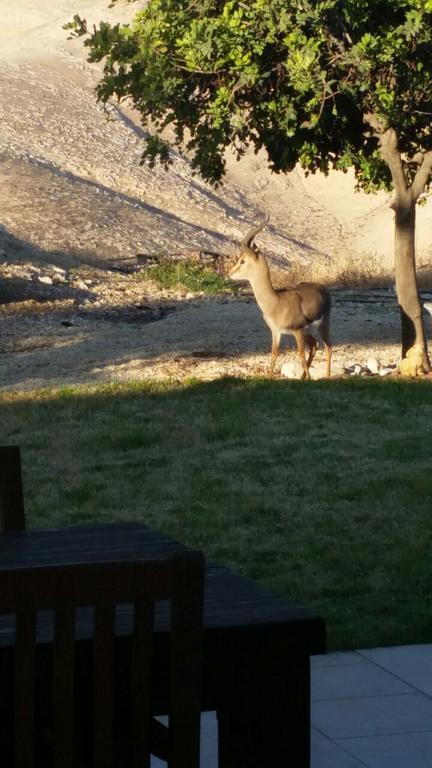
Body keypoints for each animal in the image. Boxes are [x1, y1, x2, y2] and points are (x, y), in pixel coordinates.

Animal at [228, 218, 332, 380]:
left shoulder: (298, 331)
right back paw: (303, 377)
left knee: (328, 347)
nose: (229, 273)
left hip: (322, 325)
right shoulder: (276, 331)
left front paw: (309, 379)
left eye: (243, 260)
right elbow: (274, 354)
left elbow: (300, 355)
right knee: (315, 345)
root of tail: (324, 289)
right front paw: (270, 378)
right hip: (309, 331)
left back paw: (326, 377)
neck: (276, 302)